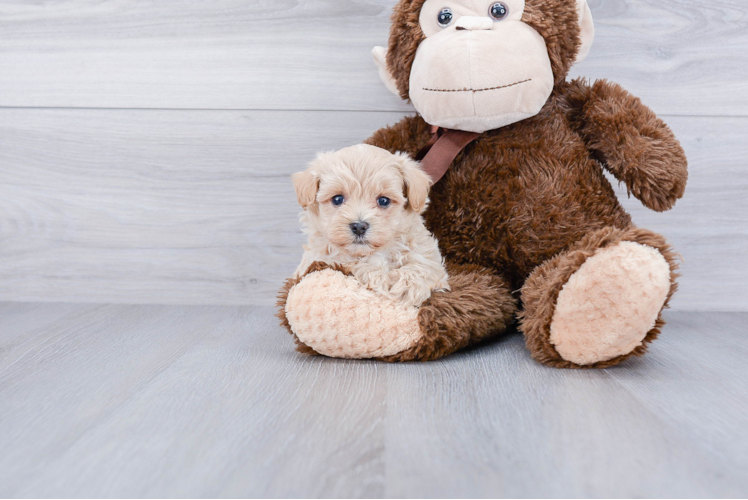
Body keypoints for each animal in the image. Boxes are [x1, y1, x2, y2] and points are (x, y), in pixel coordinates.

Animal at [290, 144, 448, 308]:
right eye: (337, 199)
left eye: (383, 201)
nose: (359, 227)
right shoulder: (319, 259)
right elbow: (350, 263)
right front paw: (378, 277)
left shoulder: (427, 255)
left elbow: (425, 265)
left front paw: (407, 286)